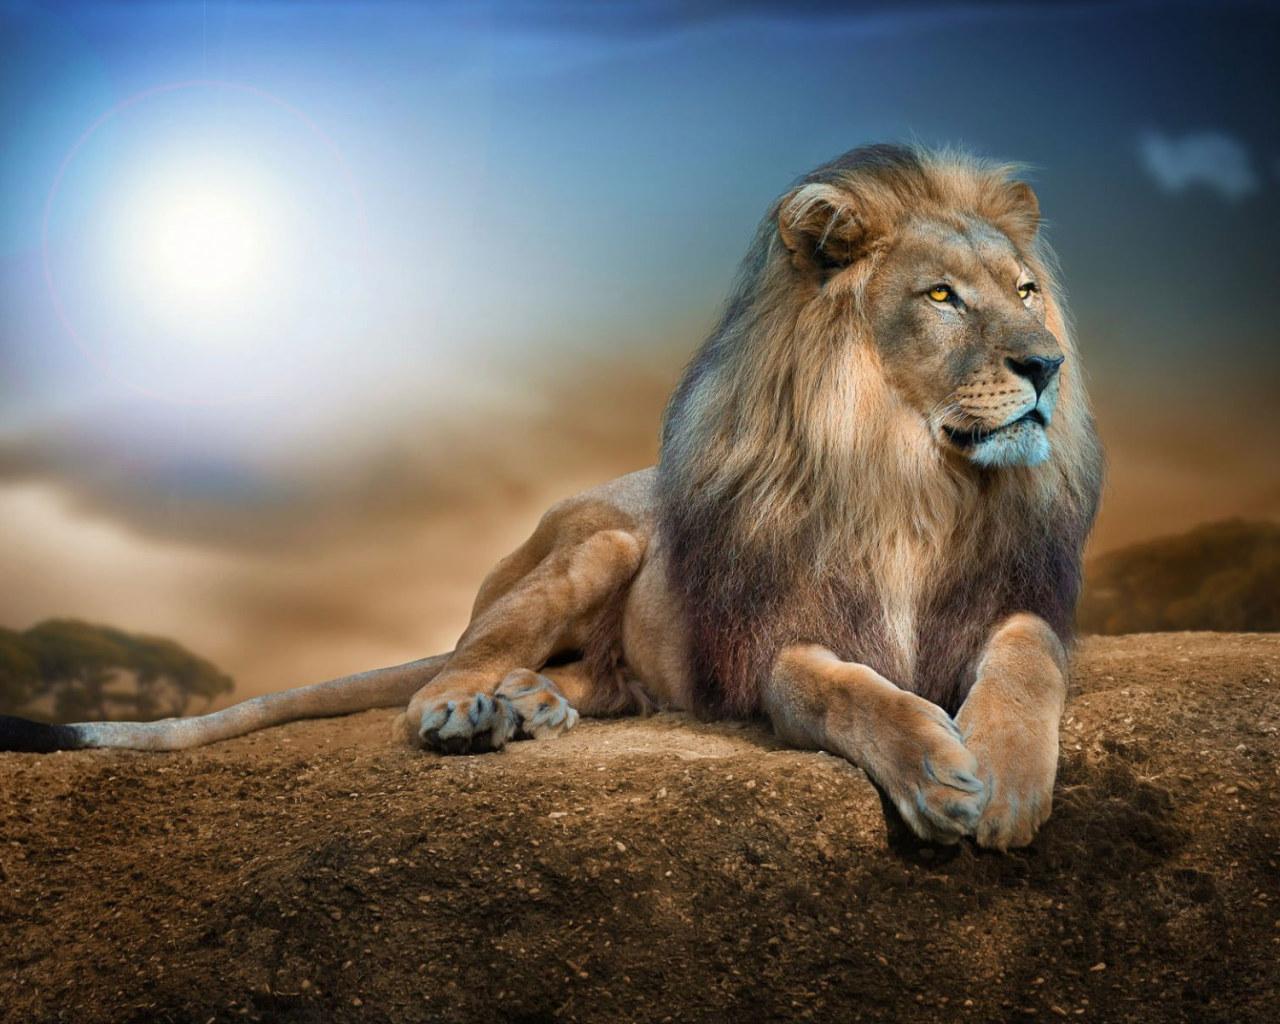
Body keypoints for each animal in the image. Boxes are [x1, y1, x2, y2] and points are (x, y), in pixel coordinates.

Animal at [1, 144, 1102, 849]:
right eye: (940, 297)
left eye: (1025, 292)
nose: (1045, 365)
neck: (911, 479)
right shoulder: (768, 645)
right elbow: (844, 688)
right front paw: (936, 771)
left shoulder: (1014, 603)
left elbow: (1025, 656)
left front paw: (1004, 777)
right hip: (599, 545)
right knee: (442, 672)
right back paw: (473, 710)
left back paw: (528, 705)